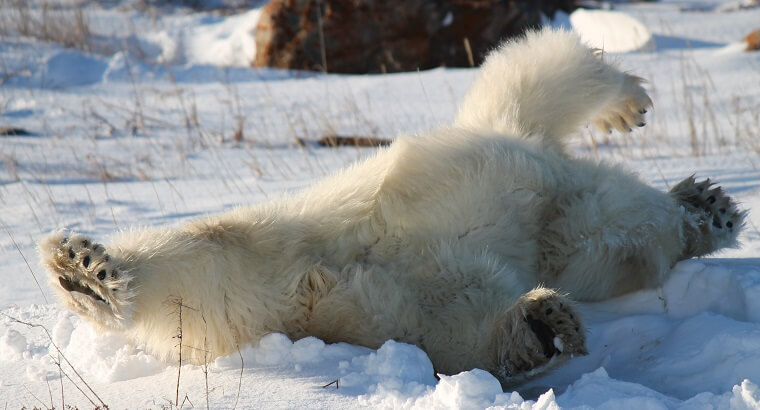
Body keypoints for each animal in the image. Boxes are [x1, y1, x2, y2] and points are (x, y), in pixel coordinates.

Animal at [40, 29, 744, 388]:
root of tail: (318, 289)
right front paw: (702, 199)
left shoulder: (563, 221)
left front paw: (706, 206)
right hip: (295, 247)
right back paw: (86, 272)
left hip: (390, 294)